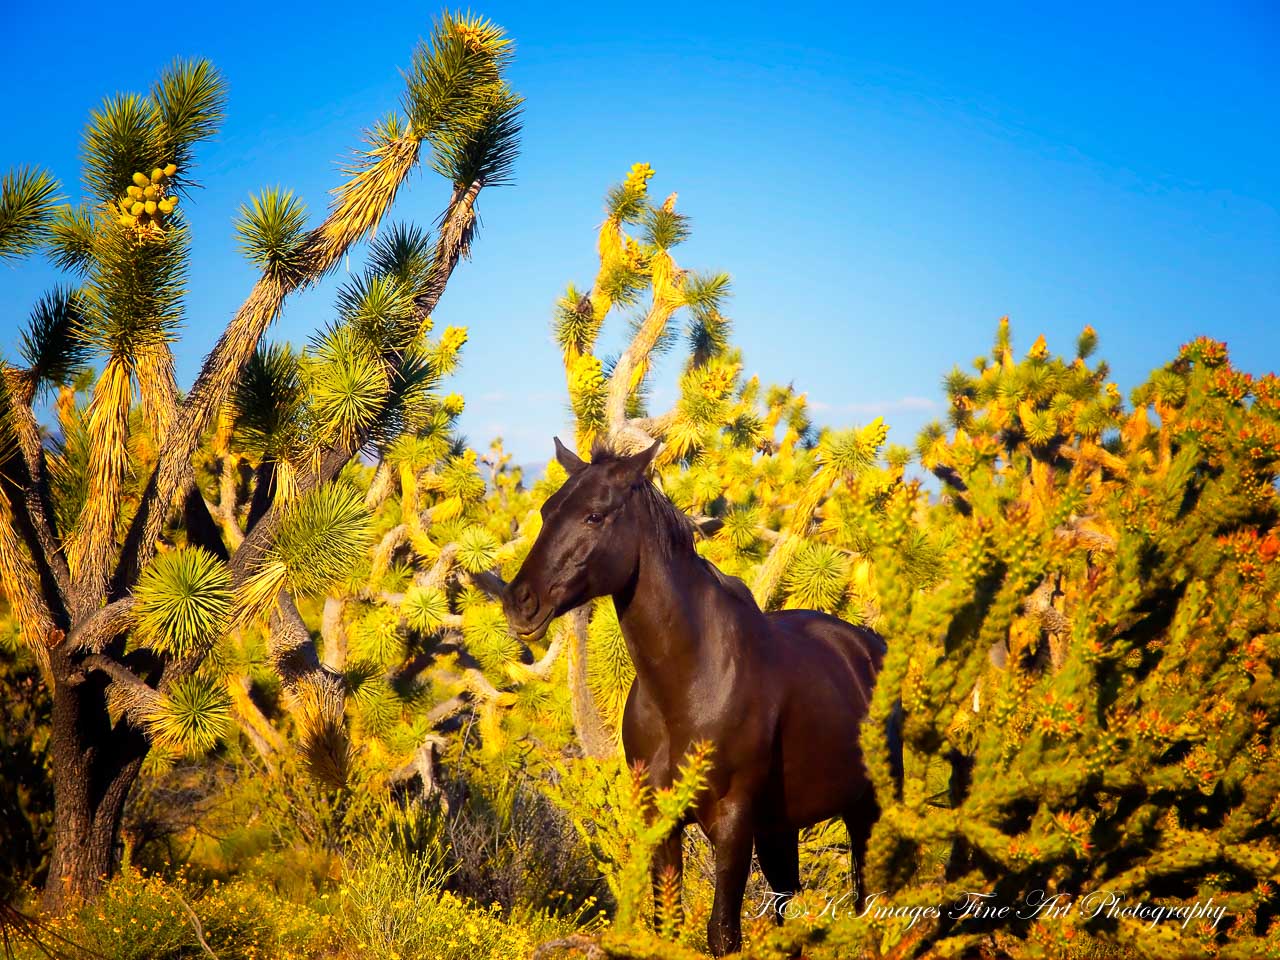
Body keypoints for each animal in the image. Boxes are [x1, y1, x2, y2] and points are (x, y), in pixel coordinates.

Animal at [504, 440, 896, 957]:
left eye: (594, 515)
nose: (519, 602)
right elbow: (666, 926)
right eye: (547, 510)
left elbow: (723, 934)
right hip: (782, 828)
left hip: (867, 809)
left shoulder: (731, 825)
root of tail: (869, 647)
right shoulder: (661, 822)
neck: (690, 685)